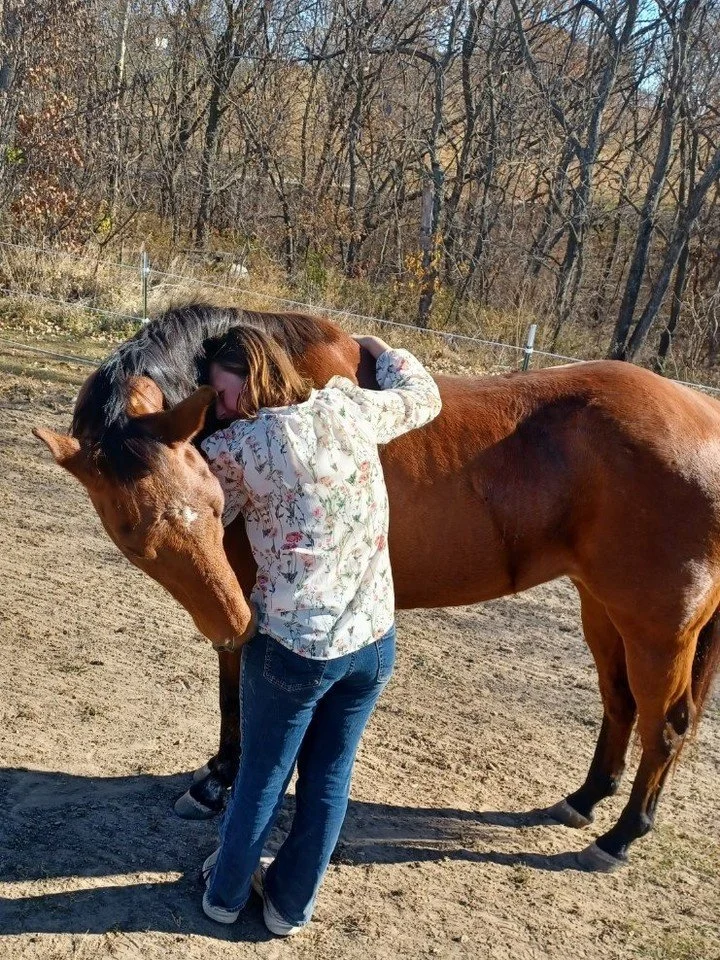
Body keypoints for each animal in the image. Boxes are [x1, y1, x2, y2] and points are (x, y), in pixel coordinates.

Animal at [33, 303, 720, 874]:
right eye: (134, 539)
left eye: (212, 503)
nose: (230, 622)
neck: (277, 400)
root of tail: (704, 418)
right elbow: (232, 693)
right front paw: (217, 777)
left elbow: (241, 696)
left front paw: (224, 778)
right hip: (601, 609)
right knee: (620, 705)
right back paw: (584, 799)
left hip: (656, 630)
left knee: (665, 725)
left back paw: (620, 836)